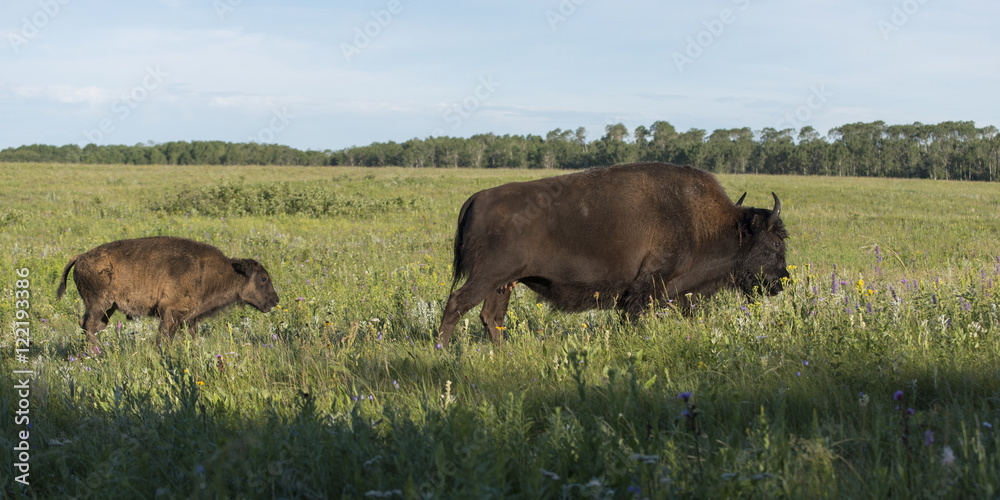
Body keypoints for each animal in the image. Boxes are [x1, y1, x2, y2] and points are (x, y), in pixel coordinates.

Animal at [56, 236, 280, 346]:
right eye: (263, 278)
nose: (275, 300)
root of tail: (80, 257)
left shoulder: (189, 318)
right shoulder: (170, 313)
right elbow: (164, 337)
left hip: (107, 309)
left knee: (92, 327)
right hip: (99, 304)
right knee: (88, 325)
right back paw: (97, 352)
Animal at [438, 163, 788, 348]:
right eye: (775, 244)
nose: (782, 282)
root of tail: (477, 197)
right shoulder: (649, 284)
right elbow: (633, 317)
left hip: (503, 282)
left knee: (492, 317)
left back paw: (502, 352)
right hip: (488, 276)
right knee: (457, 304)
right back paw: (441, 351)